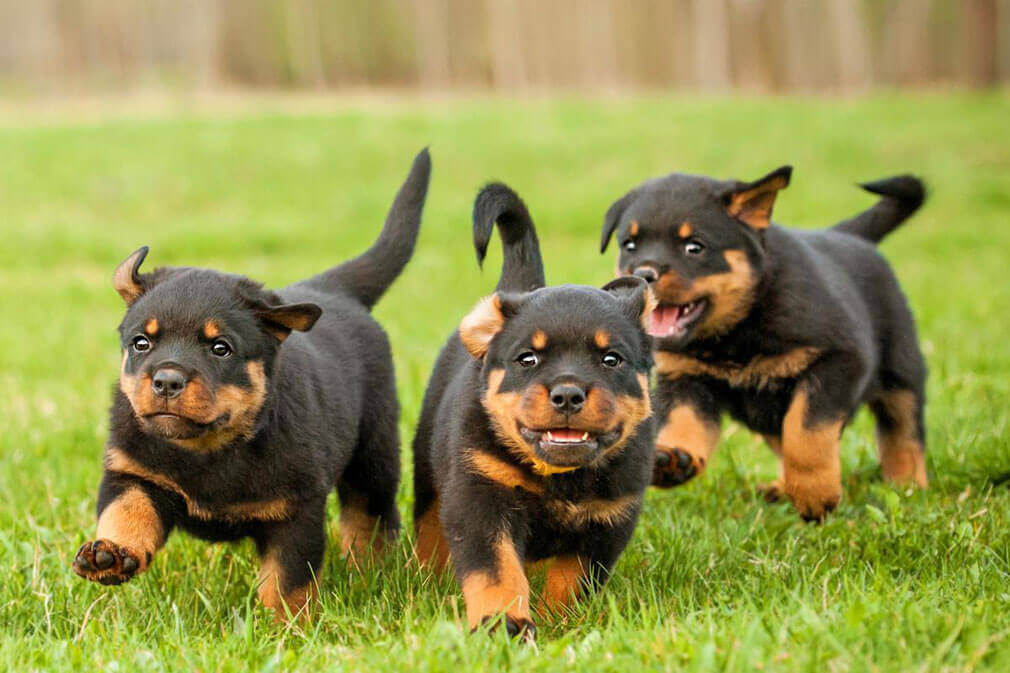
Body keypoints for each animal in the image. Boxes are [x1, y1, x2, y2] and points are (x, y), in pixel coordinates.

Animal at [73, 148, 432, 618]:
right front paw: (109, 553)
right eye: (141, 343)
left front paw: (287, 625)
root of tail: (334, 290)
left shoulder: (296, 510)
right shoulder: (133, 471)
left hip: (375, 451)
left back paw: (369, 571)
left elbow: (287, 579)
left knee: (369, 513)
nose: (166, 380)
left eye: (220, 348)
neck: (208, 448)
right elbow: (126, 511)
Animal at [410, 181, 654, 638]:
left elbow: (573, 577)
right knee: (430, 521)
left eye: (611, 359)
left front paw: (562, 621)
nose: (568, 394)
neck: (561, 479)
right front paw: (503, 624)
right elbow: (496, 570)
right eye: (528, 358)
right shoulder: (481, 497)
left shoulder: (608, 520)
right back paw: (427, 574)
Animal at [601, 166, 925, 517]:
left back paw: (908, 487)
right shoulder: (685, 377)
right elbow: (684, 420)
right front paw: (674, 458)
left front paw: (815, 494)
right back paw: (780, 489)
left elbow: (806, 431)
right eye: (630, 244)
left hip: (901, 373)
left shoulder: (839, 359)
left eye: (694, 247)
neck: (736, 330)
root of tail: (851, 237)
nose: (644, 274)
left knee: (903, 432)